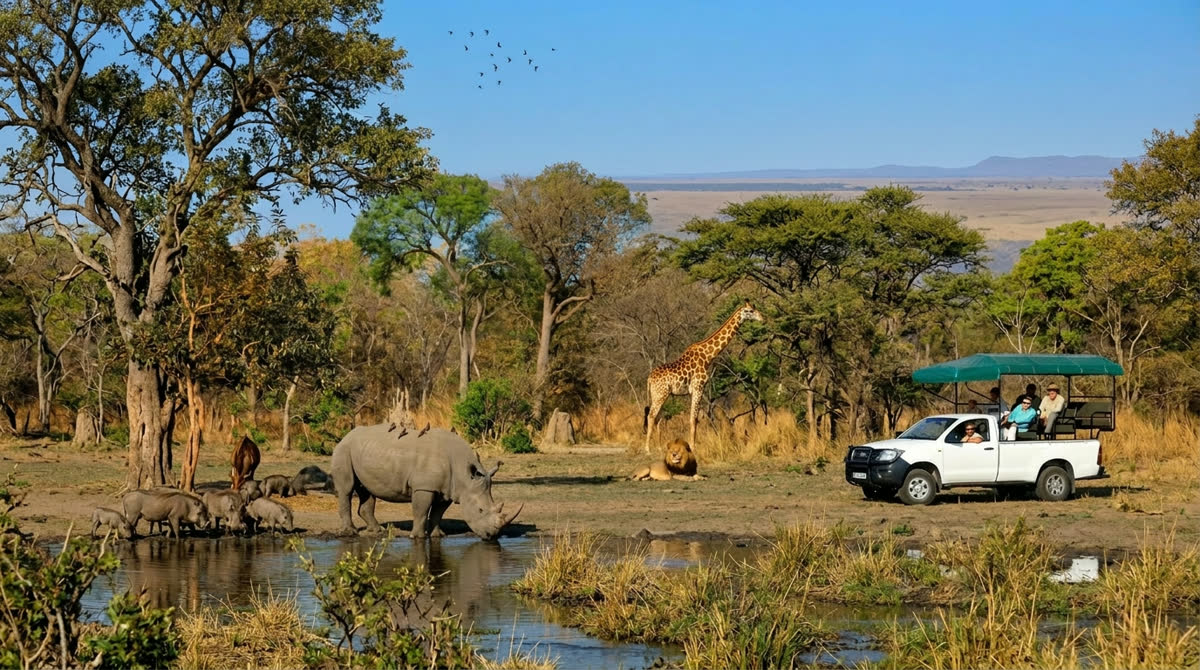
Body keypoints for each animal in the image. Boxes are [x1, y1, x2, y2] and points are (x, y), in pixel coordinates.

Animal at [643, 302, 764, 454]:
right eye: (750, 311)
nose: (762, 318)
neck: (708, 356)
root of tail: (649, 378)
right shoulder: (698, 387)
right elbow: (693, 419)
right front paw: (693, 447)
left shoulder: (695, 390)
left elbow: (694, 418)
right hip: (660, 394)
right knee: (651, 415)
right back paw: (647, 448)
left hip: (660, 395)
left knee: (658, 418)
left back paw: (659, 447)